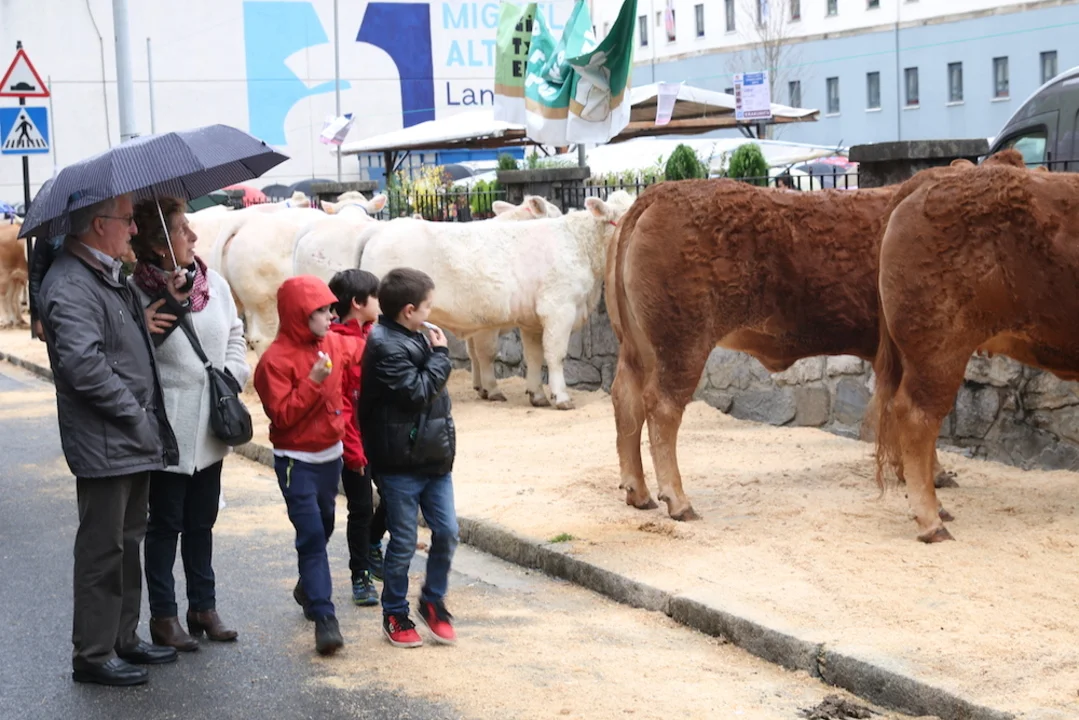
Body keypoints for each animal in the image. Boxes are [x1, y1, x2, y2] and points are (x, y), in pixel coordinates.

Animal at [361, 192, 634, 409]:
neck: (581, 247)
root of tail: (379, 231)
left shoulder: (532, 320)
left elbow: (534, 357)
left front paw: (537, 395)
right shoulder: (558, 309)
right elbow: (555, 355)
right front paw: (561, 397)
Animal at [605, 178, 962, 521]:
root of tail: (659, 192)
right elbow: (919, 414)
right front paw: (931, 476)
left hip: (638, 347)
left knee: (627, 400)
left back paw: (638, 492)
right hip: (682, 343)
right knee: (662, 407)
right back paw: (679, 502)